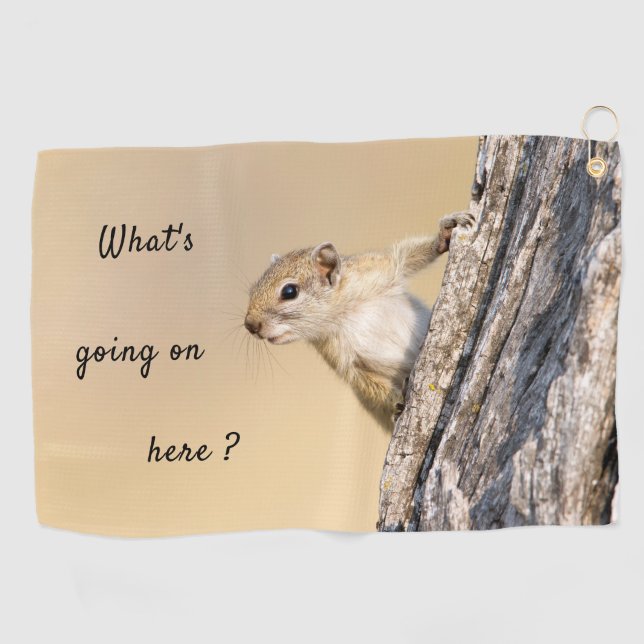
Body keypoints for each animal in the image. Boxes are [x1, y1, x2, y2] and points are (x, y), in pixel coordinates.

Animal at [244, 211, 475, 429]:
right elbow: (367, 384)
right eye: (253, 289)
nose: (250, 325)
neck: (345, 312)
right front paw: (396, 403)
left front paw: (446, 231)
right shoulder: (343, 359)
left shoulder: (379, 269)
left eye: (289, 291)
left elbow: (407, 256)